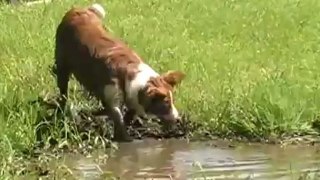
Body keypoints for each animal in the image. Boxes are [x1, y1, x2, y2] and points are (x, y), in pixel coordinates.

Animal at [53, 2, 185, 141]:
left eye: (173, 100)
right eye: (166, 103)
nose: (178, 118)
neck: (131, 75)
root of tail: (77, 9)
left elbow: (129, 113)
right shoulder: (112, 90)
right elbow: (117, 115)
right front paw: (126, 138)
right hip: (62, 63)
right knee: (63, 90)